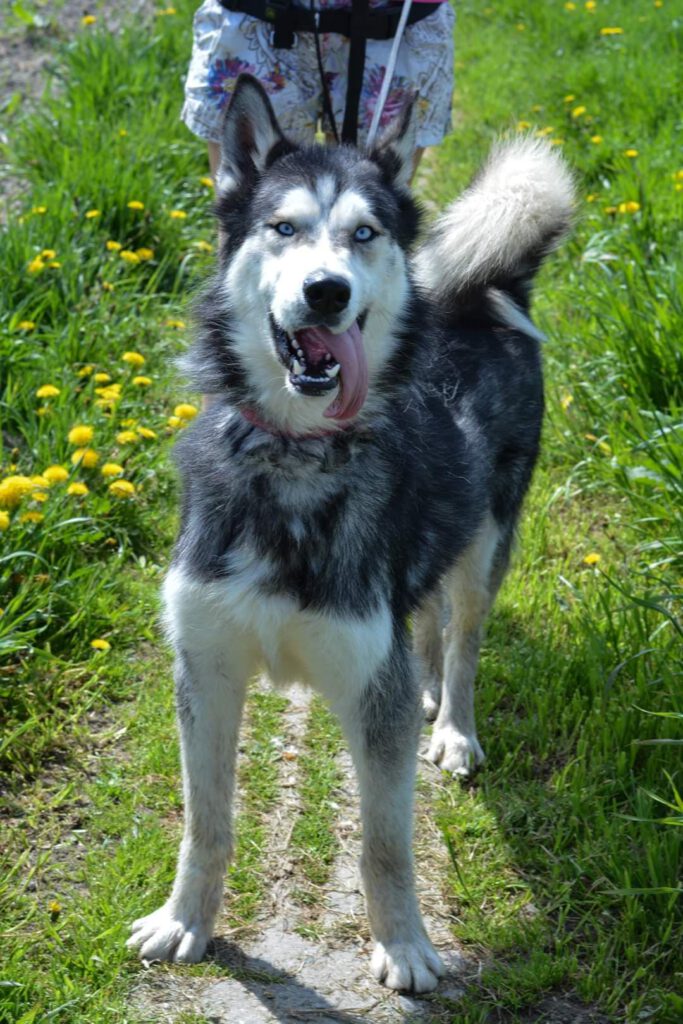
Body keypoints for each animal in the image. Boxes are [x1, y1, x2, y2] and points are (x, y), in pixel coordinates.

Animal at [126, 74, 573, 991]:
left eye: (363, 234)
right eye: (283, 228)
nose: (326, 290)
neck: (296, 457)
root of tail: (484, 290)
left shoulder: (373, 691)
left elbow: (384, 844)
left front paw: (403, 945)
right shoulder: (206, 671)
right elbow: (205, 823)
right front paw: (185, 921)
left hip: (486, 544)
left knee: (463, 637)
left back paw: (454, 727)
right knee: (427, 618)